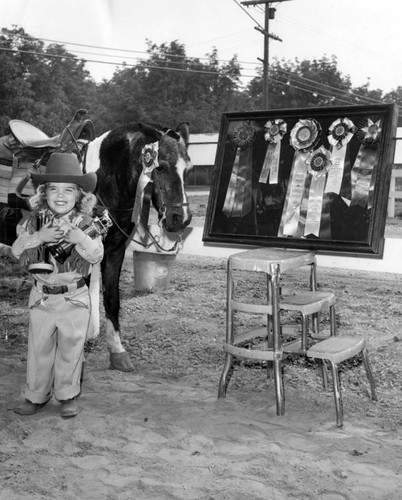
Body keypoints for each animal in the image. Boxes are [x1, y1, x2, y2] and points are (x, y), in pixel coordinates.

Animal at [0, 113, 193, 372]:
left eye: (188, 169)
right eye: (160, 167)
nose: (180, 219)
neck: (104, 181)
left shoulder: (114, 250)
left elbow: (112, 298)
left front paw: (117, 352)